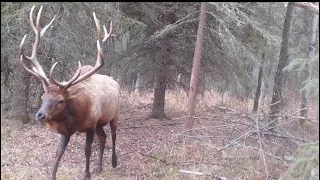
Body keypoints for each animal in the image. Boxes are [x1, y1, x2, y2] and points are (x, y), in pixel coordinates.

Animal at [19, 5, 121, 180]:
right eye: (43, 97)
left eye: (60, 100)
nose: (40, 115)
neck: (77, 117)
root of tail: (116, 82)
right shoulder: (68, 131)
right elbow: (58, 153)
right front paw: (53, 175)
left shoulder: (91, 125)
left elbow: (87, 151)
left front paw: (86, 175)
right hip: (100, 122)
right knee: (103, 138)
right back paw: (99, 167)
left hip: (114, 115)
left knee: (113, 136)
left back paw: (113, 163)